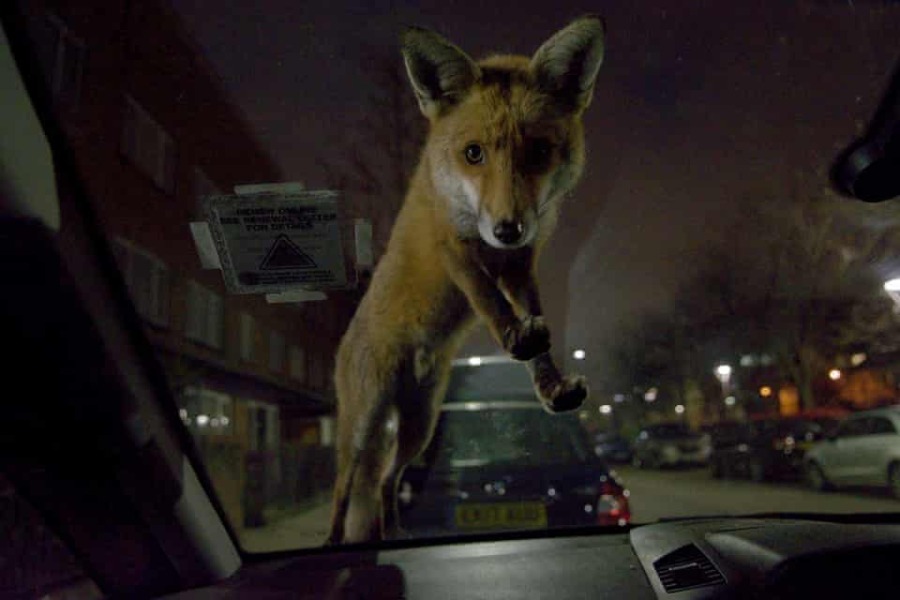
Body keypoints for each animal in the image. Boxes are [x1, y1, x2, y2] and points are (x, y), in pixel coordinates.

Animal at [327, 16, 606, 544]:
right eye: (473, 153)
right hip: (360, 428)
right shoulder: (453, 250)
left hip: (419, 427)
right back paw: (333, 546)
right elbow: (490, 302)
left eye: (539, 151)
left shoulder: (520, 264)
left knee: (387, 480)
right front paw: (516, 338)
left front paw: (550, 385)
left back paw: (397, 534)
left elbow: (535, 325)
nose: (507, 228)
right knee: (344, 493)